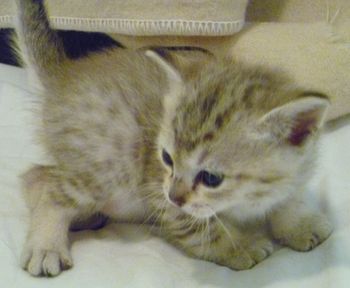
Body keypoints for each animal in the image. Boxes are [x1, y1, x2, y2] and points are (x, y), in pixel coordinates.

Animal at [17, 0, 334, 276]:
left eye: (212, 178)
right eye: (166, 158)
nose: (174, 195)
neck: (247, 199)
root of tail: (63, 76)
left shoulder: (297, 169)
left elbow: (288, 197)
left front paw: (299, 224)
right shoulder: (159, 191)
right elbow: (203, 231)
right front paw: (239, 247)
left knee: (37, 174)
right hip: (109, 157)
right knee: (47, 185)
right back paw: (47, 246)